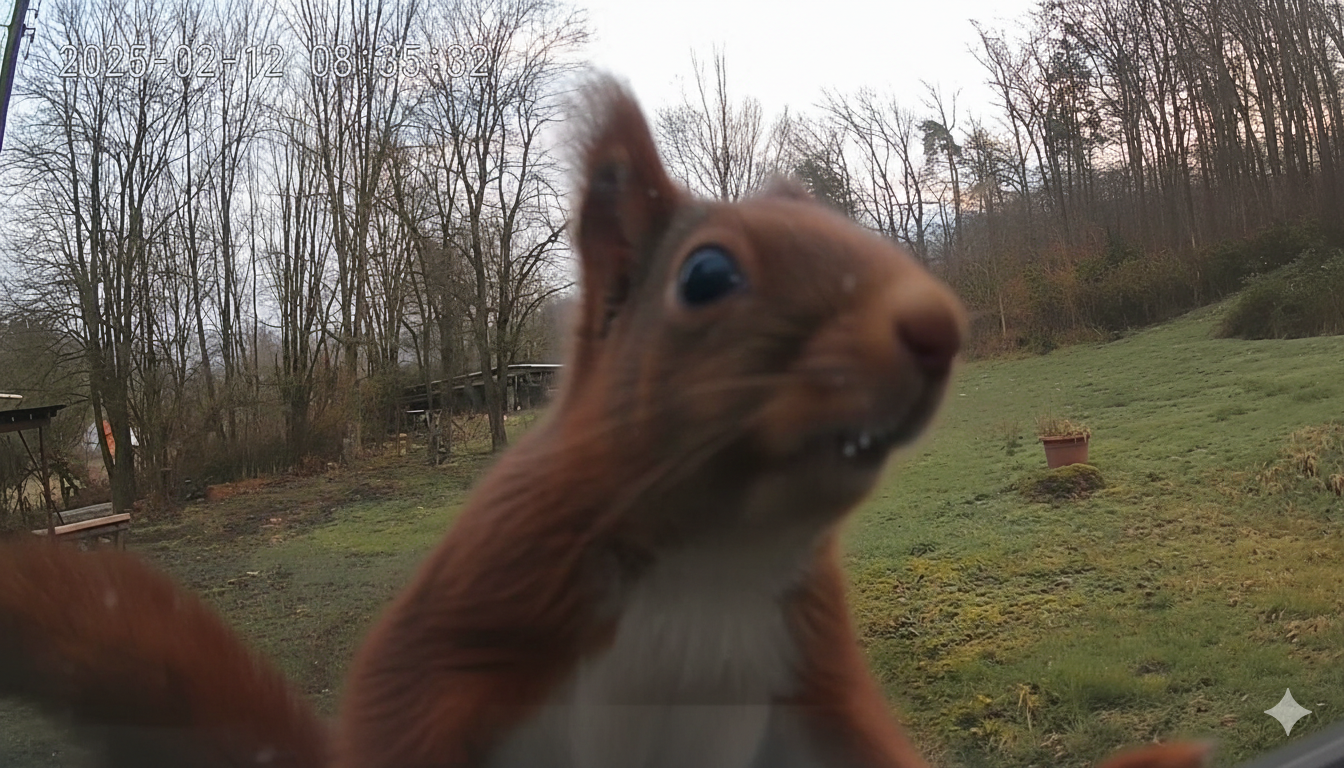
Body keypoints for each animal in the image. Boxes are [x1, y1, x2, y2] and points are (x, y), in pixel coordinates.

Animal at [0, 76, 1210, 768]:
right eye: (708, 274)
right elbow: (407, 703)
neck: (717, 552)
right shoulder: (490, 589)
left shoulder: (813, 667)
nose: (938, 326)